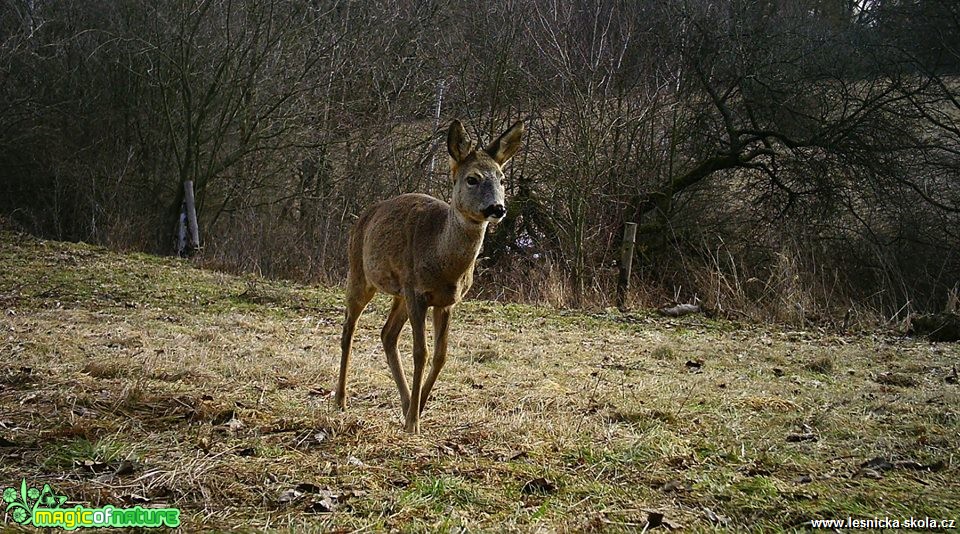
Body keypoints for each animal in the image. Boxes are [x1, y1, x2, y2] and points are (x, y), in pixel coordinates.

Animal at [334, 119, 520, 434]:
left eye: (502, 179)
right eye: (472, 179)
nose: (497, 208)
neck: (441, 259)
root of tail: (365, 215)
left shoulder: (446, 301)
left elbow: (440, 355)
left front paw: (418, 409)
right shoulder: (417, 292)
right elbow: (420, 352)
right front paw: (414, 423)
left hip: (399, 293)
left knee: (387, 334)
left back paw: (406, 402)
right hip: (360, 274)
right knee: (349, 328)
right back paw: (340, 400)